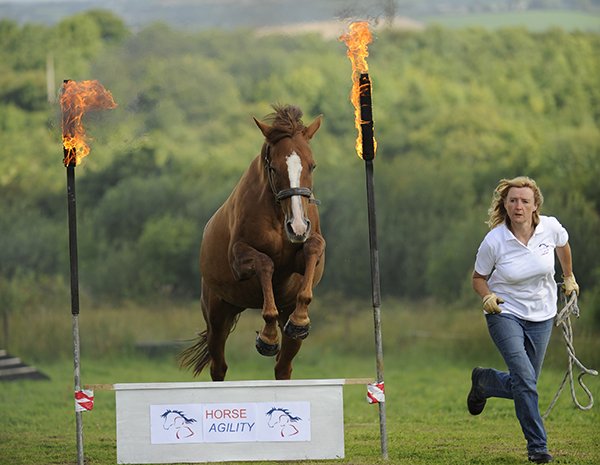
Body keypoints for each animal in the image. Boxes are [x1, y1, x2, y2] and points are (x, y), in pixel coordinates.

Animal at [180, 105, 326, 380]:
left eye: (312, 166)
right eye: (274, 168)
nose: (297, 227)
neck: (279, 215)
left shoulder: (304, 254)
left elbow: (313, 248)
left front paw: (300, 321)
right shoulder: (240, 259)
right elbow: (265, 263)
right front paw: (267, 338)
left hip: (284, 319)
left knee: (283, 366)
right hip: (218, 315)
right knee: (218, 366)